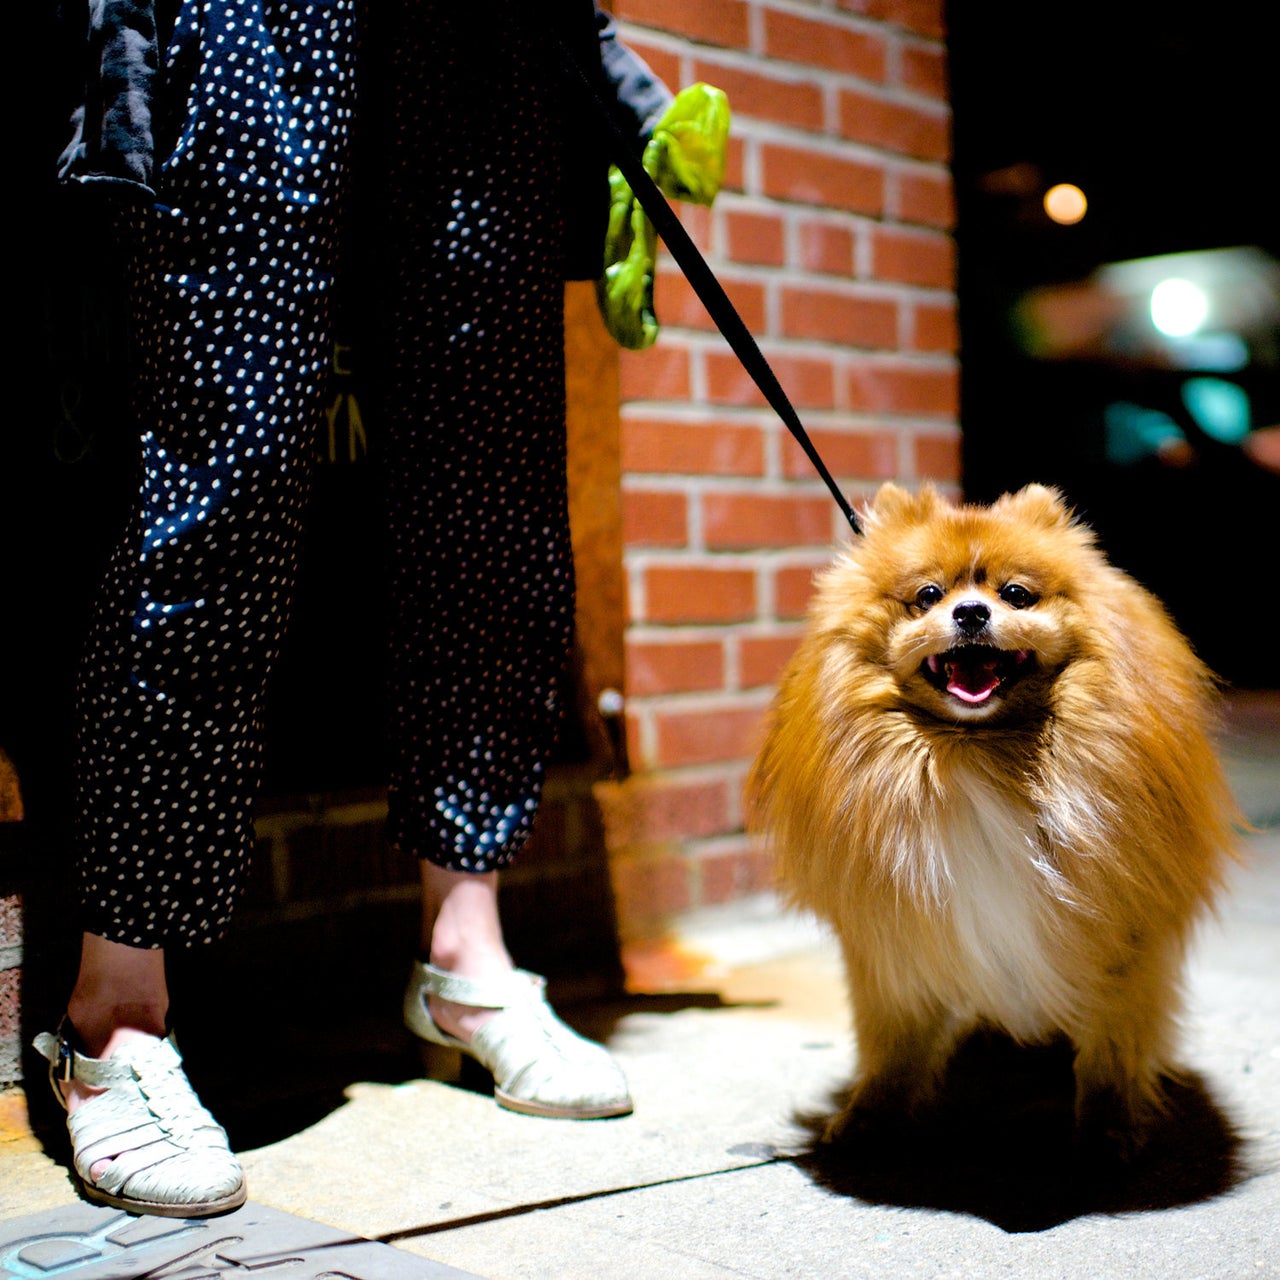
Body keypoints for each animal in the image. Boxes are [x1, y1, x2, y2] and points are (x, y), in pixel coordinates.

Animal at [747, 481, 1239, 1162]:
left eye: (1016, 595)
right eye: (929, 596)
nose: (972, 613)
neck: (974, 751)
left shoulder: (1118, 933)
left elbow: (1110, 1047)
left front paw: (1107, 1129)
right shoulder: (893, 942)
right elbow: (892, 1048)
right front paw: (870, 1117)